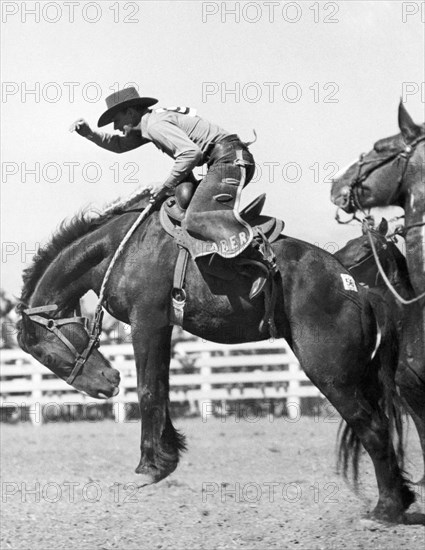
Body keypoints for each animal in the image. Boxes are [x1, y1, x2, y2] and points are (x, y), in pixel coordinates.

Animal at [16, 192, 414, 524]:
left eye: (47, 355)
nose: (108, 383)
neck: (120, 247)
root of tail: (356, 288)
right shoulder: (162, 327)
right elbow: (161, 388)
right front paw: (169, 453)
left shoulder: (147, 321)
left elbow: (149, 390)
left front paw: (150, 465)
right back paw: (400, 499)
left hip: (332, 375)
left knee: (373, 427)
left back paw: (386, 510)